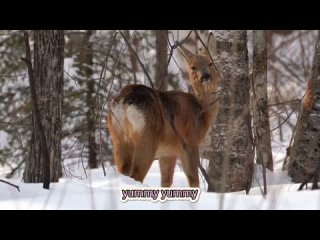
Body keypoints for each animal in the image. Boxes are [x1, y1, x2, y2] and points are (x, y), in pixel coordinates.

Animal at [107, 45, 220, 188]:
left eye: (210, 63)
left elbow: (166, 181)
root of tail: (125, 101)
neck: (201, 111)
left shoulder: (168, 152)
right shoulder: (189, 141)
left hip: (118, 137)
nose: (205, 76)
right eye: (193, 67)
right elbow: (193, 178)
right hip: (147, 137)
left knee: (124, 169)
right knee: (137, 173)